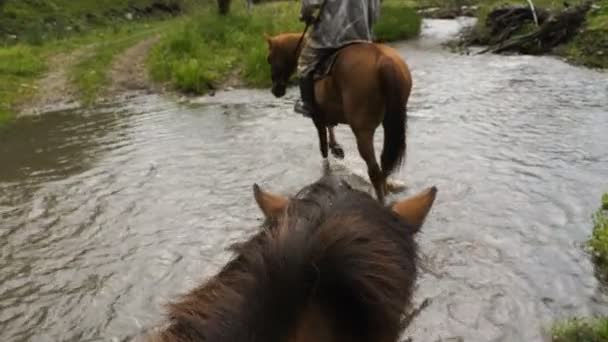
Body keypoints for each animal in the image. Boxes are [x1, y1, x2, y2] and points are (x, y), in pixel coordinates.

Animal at [266, 32, 414, 203]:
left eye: (269, 59)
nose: (276, 90)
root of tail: (384, 60)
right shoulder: (328, 112)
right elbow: (331, 127)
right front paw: (336, 148)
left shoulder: (317, 119)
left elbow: (323, 148)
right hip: (390, 123)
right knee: (384, 164)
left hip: (362, 131)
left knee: (374, 171)